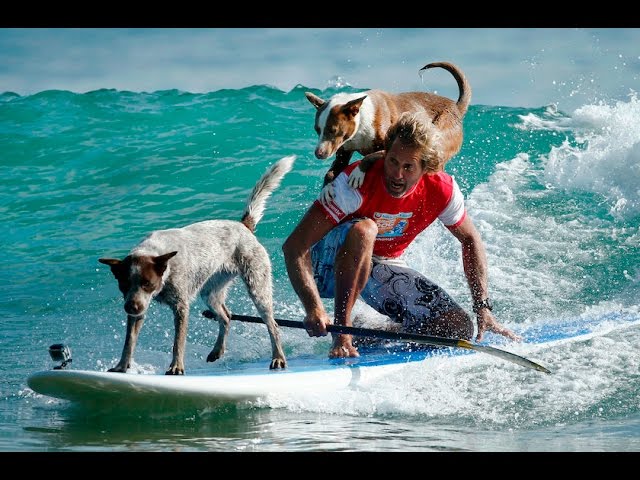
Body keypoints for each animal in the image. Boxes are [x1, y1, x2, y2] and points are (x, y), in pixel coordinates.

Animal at [98, 157, 296, 376]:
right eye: (123, 284)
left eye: (147, 283)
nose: (130, 307)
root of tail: (244, 226)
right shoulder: (139, 308)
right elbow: (129, 342)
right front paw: (121, 366)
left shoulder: (180, 307)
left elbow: (178, 342)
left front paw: (176, 366)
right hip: (210, 291)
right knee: (226, 316)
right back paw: (217, 350)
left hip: (257, 286)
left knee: (272, 324)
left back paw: (278, 357)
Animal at [304, 62, 470, 186]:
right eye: (317, 130)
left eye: (333, 130)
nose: (318, 154)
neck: (361, 121)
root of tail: (456, 107)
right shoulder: (344, 150)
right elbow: (331, 173)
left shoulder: (389, 148)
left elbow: (370, 156)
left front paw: (358, 172)